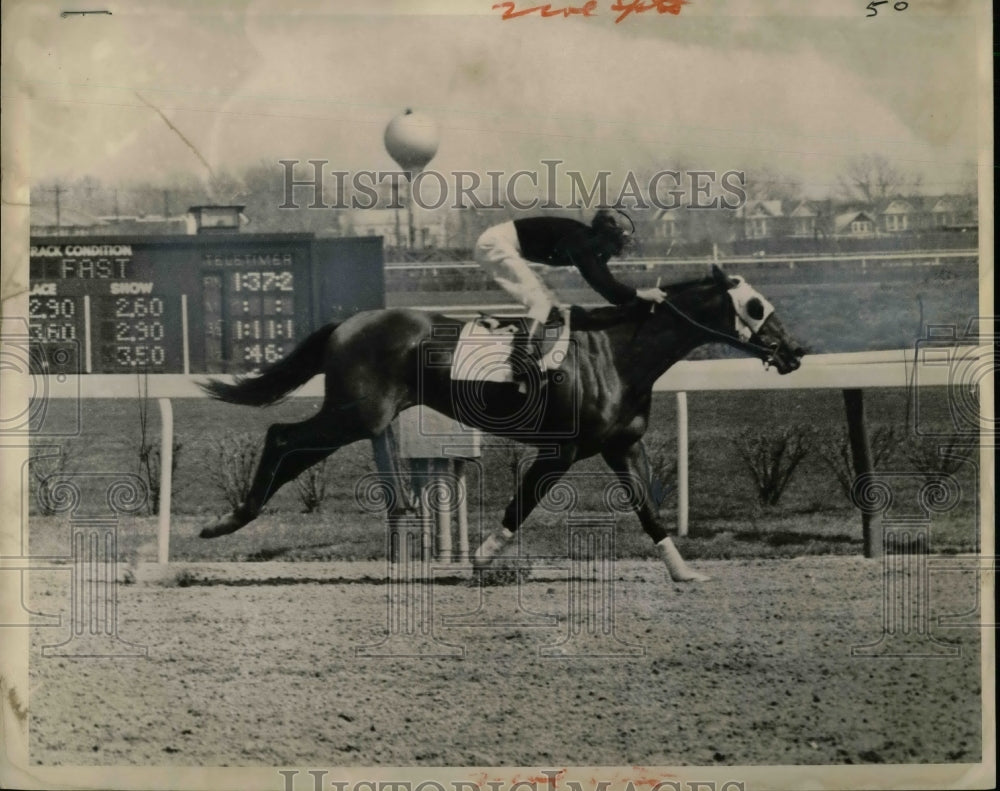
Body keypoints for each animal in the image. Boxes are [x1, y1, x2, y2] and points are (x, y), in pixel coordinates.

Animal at [201, 266, 804, 580]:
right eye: (755, 307)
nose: (795, 351)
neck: (616, 354)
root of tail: (347, 324)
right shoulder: (561, 451)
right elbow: (521, 504)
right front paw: (482, 558)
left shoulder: (623, 446)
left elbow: (650, 509)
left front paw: (683, 570)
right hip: (354, 414)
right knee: (283, 437)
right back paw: (228, 520)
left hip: (358, 416)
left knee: (289, 442)